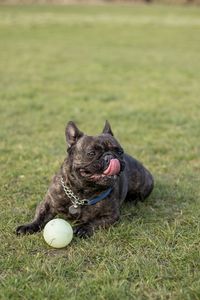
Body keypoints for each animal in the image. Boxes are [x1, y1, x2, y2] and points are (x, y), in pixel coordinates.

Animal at [16, 120, 154, 238]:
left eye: (120, 152)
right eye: (91, 153)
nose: (110, 156)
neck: (82, 192)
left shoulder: (110, 215)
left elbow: (95, 221)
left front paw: (83, 228)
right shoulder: (48, 203)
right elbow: (40, 216)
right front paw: (28, 226)